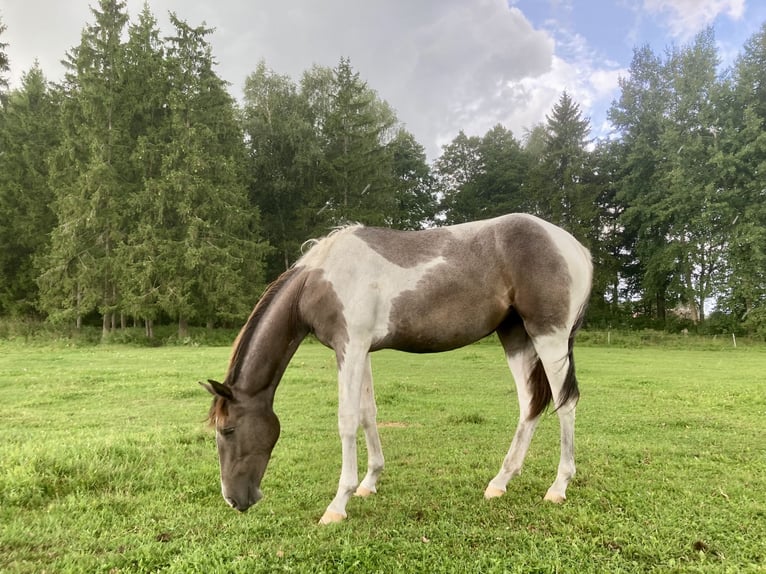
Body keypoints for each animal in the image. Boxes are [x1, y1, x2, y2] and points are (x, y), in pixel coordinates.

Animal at [202, 213, 592, 528]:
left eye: (228, 429)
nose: (234, 500)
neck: (320, 280)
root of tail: (576, 248)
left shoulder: (350, 348)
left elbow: (347, 420)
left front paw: (338, 504)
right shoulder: (360, 351)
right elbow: (367, 413)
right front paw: (369, 482)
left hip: (550, 337)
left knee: (565, 405)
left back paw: (558, 487)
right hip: (516, 338)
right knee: (530, 406)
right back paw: (500, 483)